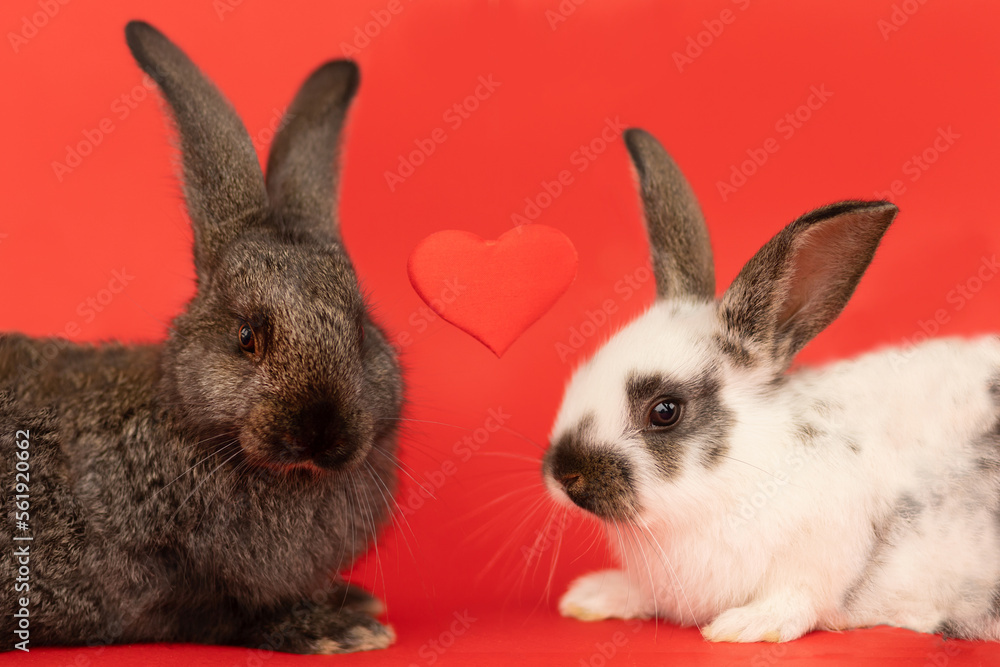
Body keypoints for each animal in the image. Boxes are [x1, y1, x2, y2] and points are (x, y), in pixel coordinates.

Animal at [0, 21, 403, 654]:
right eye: (246, 336)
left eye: (362, 330)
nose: (321, 430)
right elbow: (224, 615)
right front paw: (340, 628)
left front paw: (352, 604)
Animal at [543, 127, 1000, 643]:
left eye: (665, 411)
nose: (565, 474)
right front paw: (592, 596)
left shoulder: (821, 556)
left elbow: (795, 600)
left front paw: (742, 625)